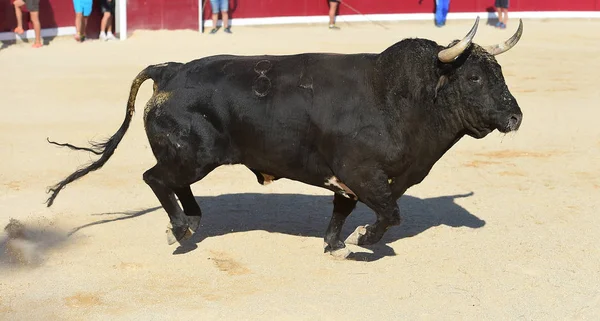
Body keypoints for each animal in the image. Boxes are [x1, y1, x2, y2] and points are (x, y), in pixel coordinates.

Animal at [47, 18, 524, 258]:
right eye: (475, 77)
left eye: (500, 71)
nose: (516, 117)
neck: (401, 98)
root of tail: (170, 70)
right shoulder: (363, 173)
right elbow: (390, 214)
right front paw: (362, 241)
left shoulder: (350, 181)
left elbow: (343, 212)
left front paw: (336, 246)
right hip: (193, 155)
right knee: (156, 178)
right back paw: (180, 229)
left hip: (191, 156)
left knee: (172, 182)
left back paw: (190, 223)